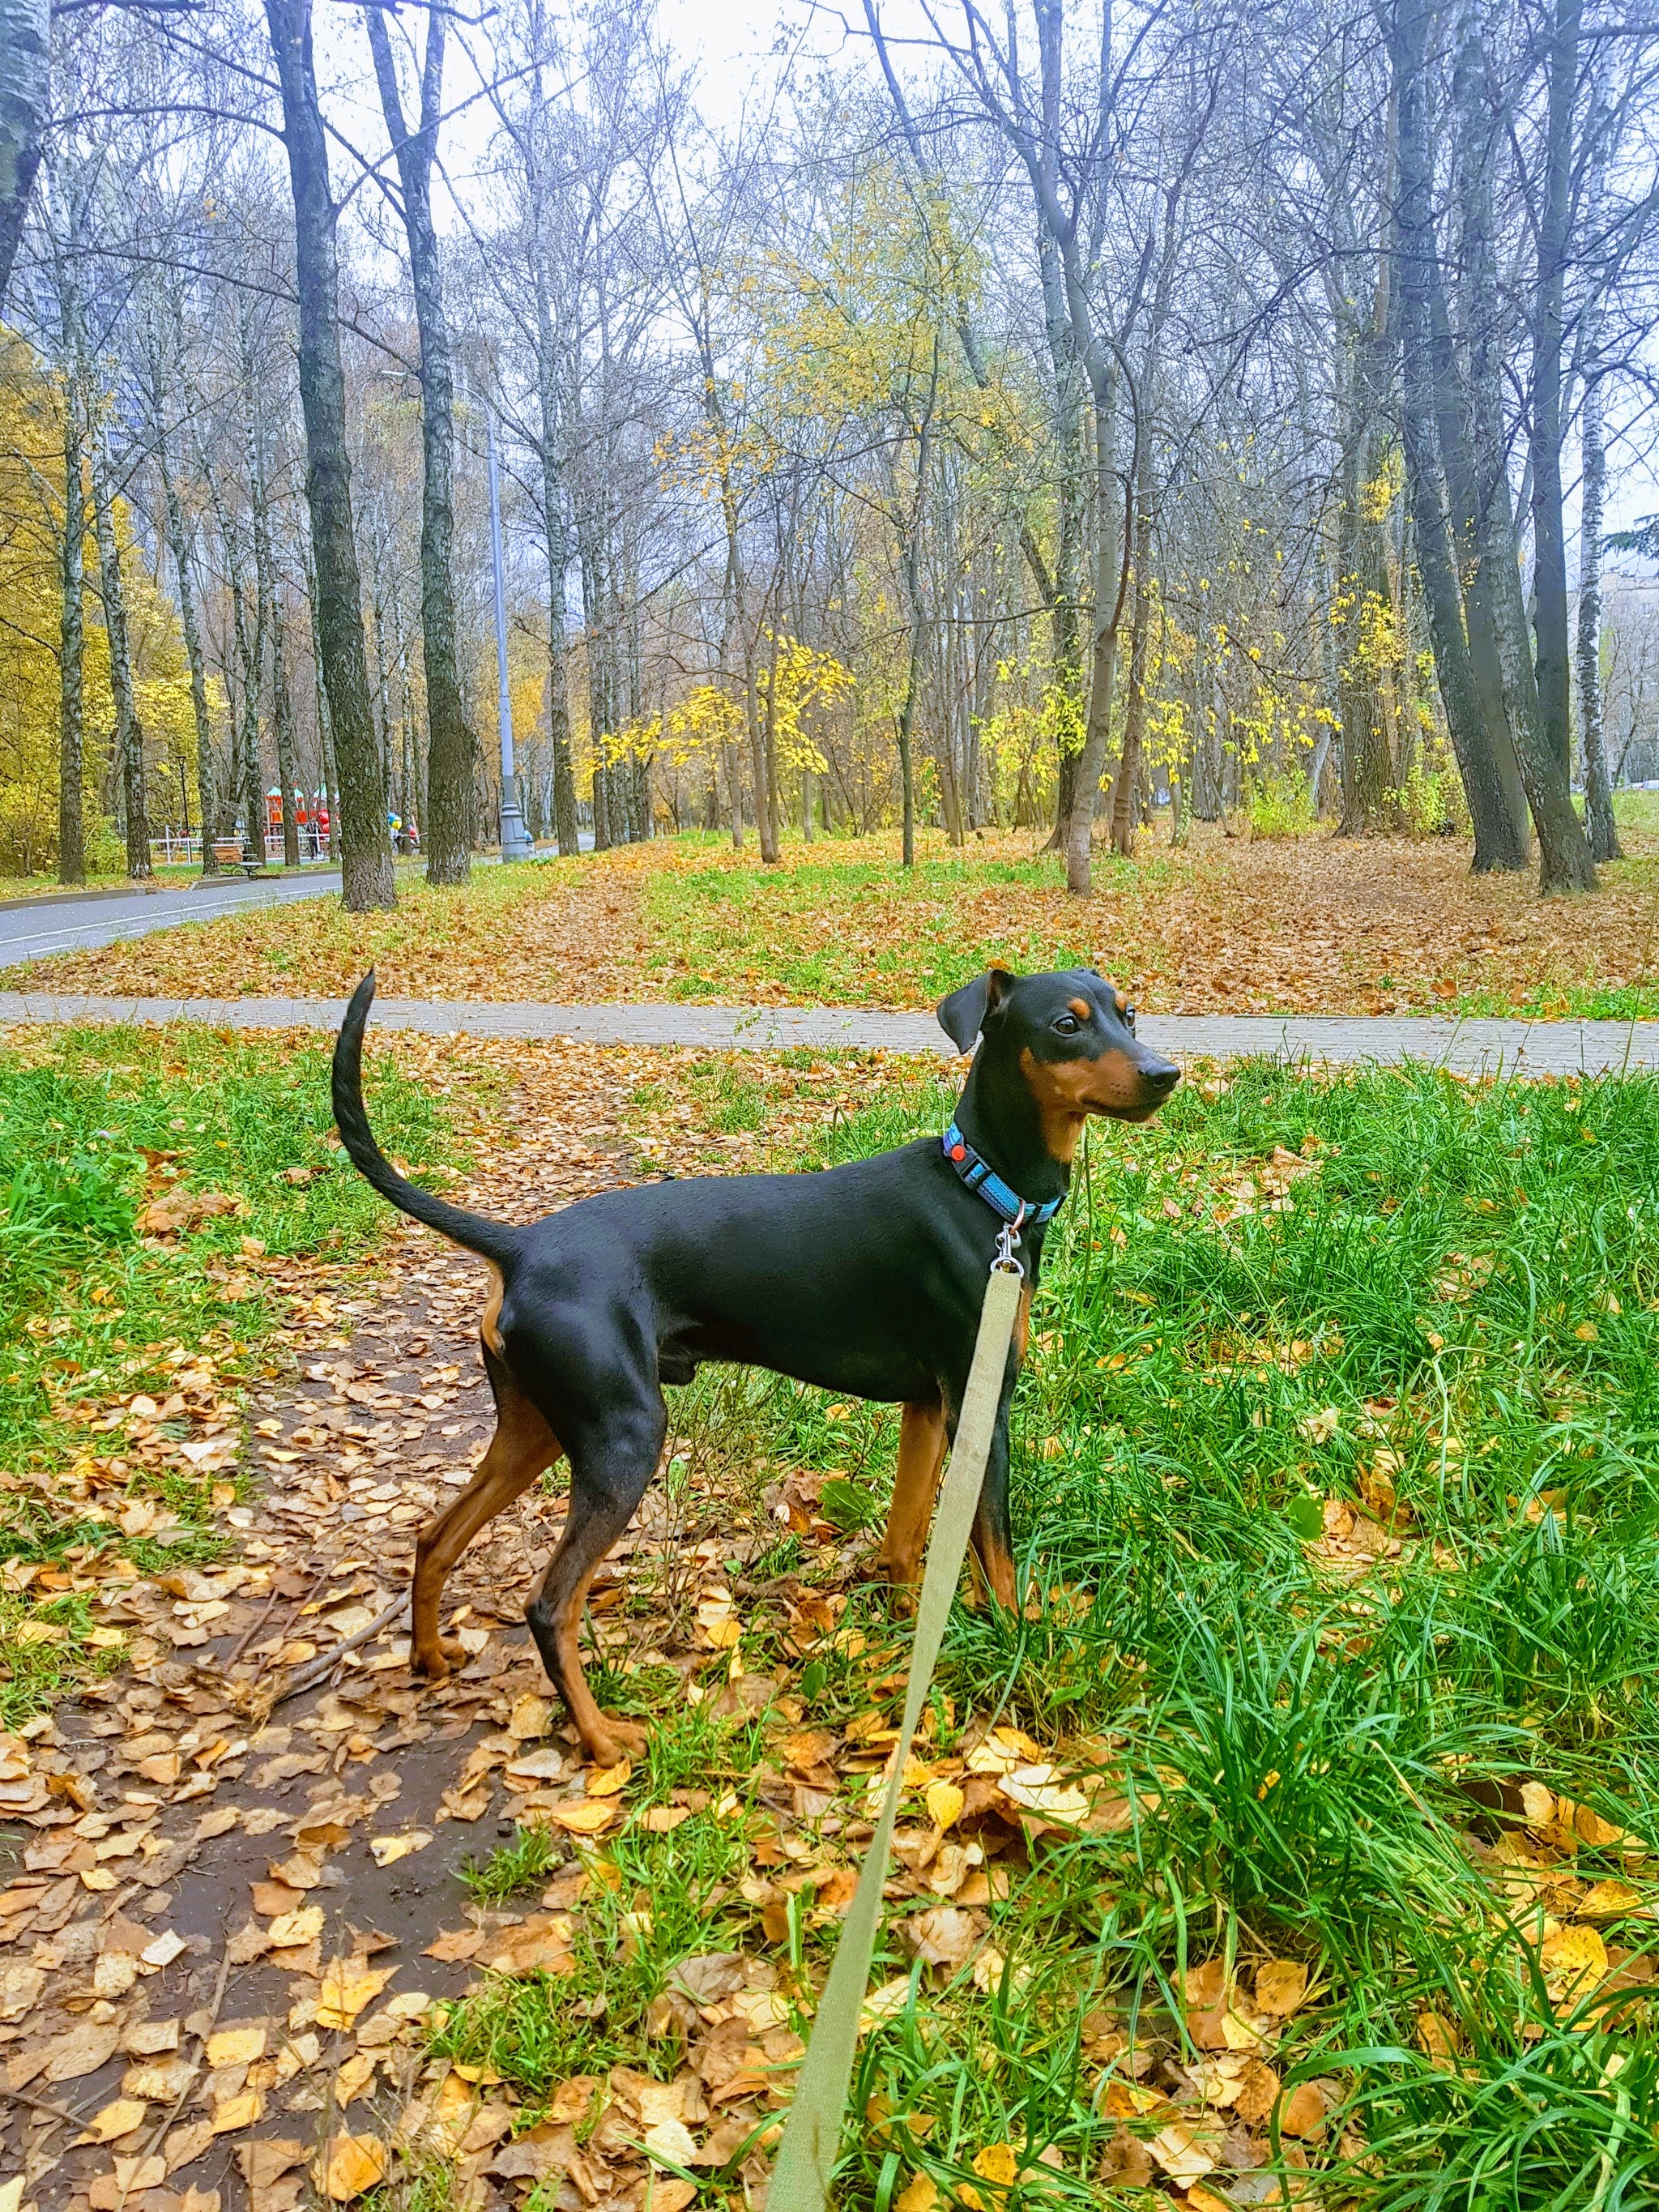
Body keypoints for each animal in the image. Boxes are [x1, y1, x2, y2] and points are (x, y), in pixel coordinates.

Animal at [331, 968, 1176, 1761]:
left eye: (1128, 1015)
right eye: (1066, 1025)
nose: (1166, 1072)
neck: (986, 1193)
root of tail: (520, 1246)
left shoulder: (929, 1406)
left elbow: (905, 1538)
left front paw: (906, 1627)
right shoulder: (982, 1405)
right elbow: (994, 1557)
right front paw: (1019, 1652)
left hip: (538, 1430)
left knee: (435, 1539)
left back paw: (430, 1659)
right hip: (623, 1440)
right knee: (550, 1604)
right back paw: (602, 1739)